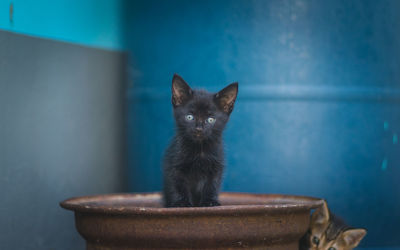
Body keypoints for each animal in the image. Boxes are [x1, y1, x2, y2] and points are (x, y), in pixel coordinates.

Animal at [162, 73, 238, 207]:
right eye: (189, 117)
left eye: (210, 119)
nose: (199, 129)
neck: (199, 150)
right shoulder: (174, 164)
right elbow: (178, 184)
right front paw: (182, 203)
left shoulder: (216, 166)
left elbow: (212, 184)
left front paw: (210, 201)